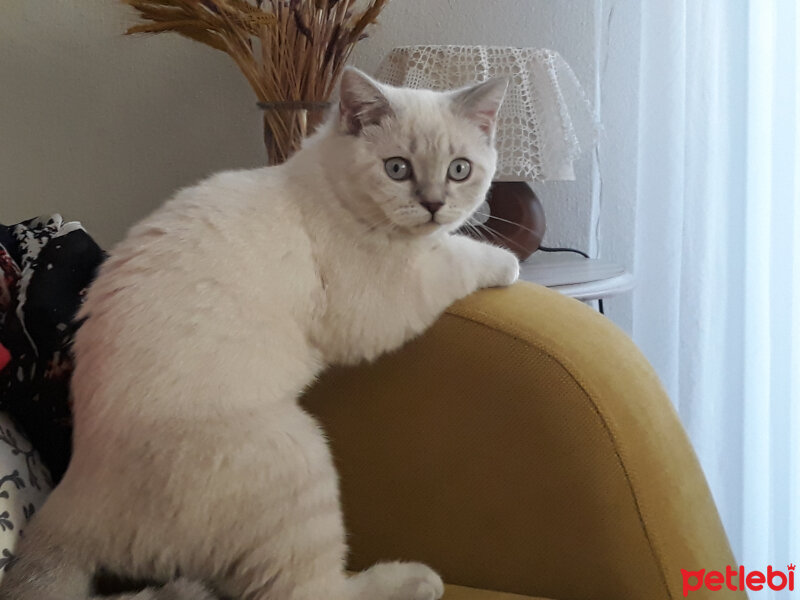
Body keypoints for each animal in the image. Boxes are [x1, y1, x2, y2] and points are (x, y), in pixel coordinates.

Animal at [0, 68, 516, 596]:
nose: (434, 204)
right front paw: (507, 262)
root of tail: (67, 503)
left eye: (459, 170)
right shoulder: (381, 304)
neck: (328, 189)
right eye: (397, 169)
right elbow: (456, 257)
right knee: (313, 590)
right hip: (298, 455)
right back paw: (416, 578)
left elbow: (448, 247)